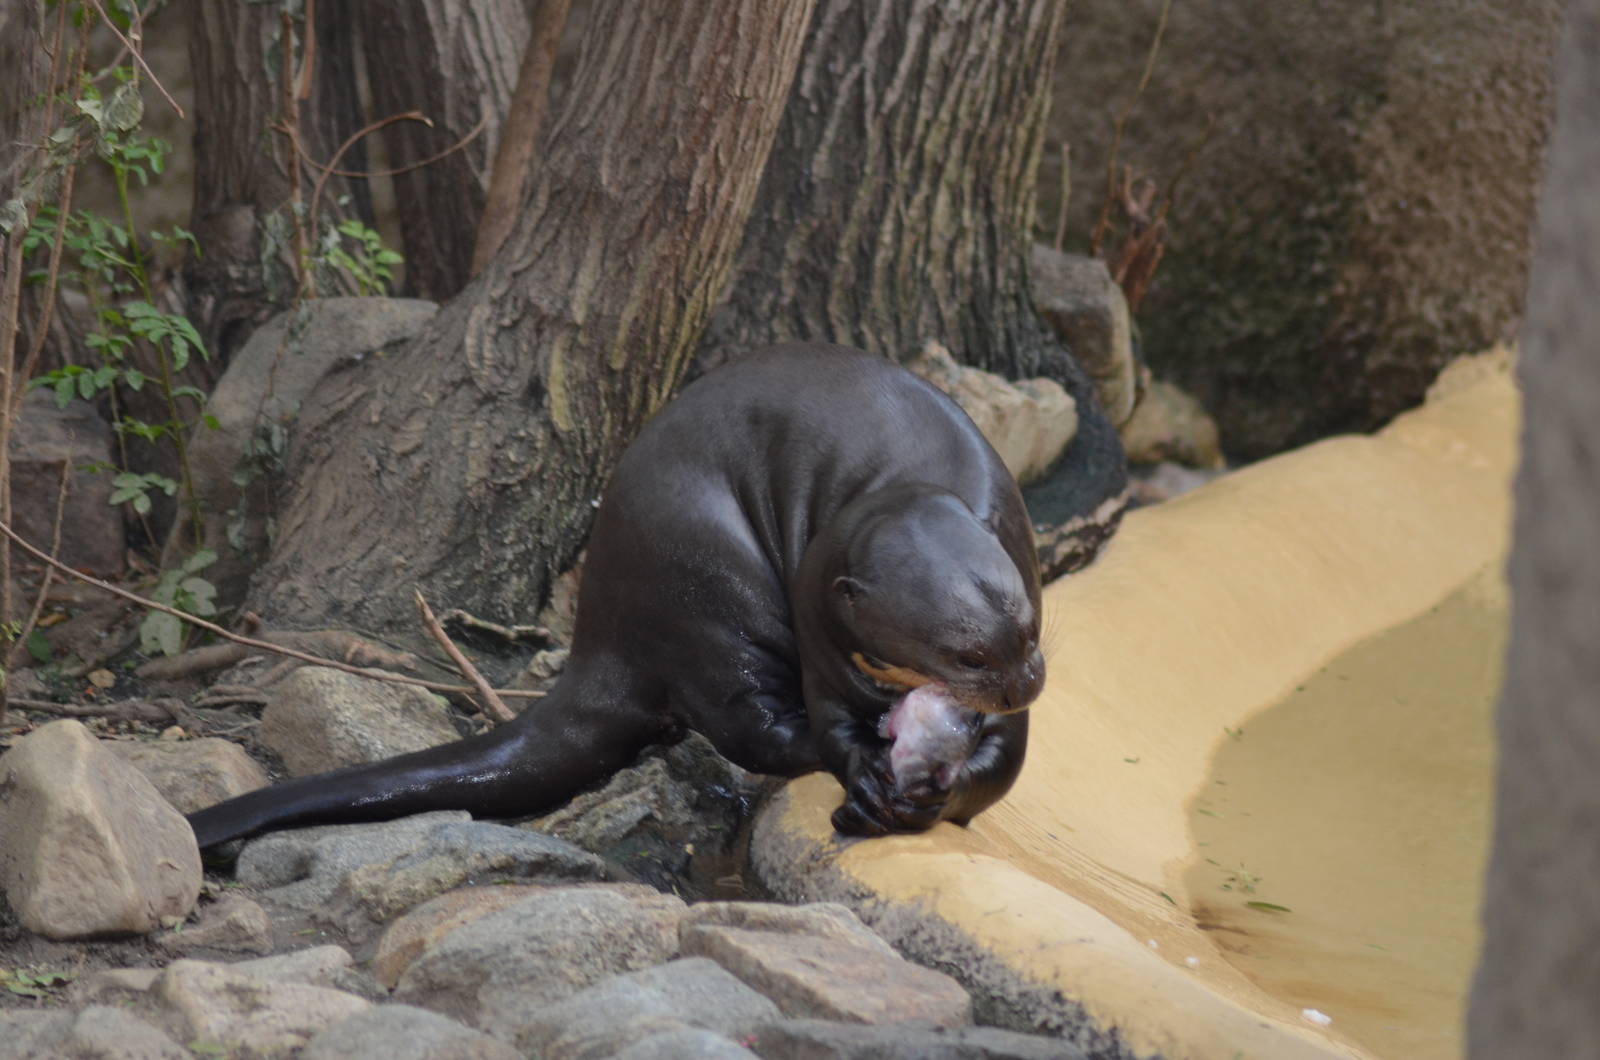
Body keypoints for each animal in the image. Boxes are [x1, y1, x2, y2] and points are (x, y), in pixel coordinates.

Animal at [188, 343, 1044, 847]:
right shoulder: (820, 628)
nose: (1027, 680)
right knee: (750, 725)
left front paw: (931, 794)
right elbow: (831, 725)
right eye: (965, 655)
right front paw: (867, 773)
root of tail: (600, 631)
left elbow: (1004, 763)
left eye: (1031, 631)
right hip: (712, 590)